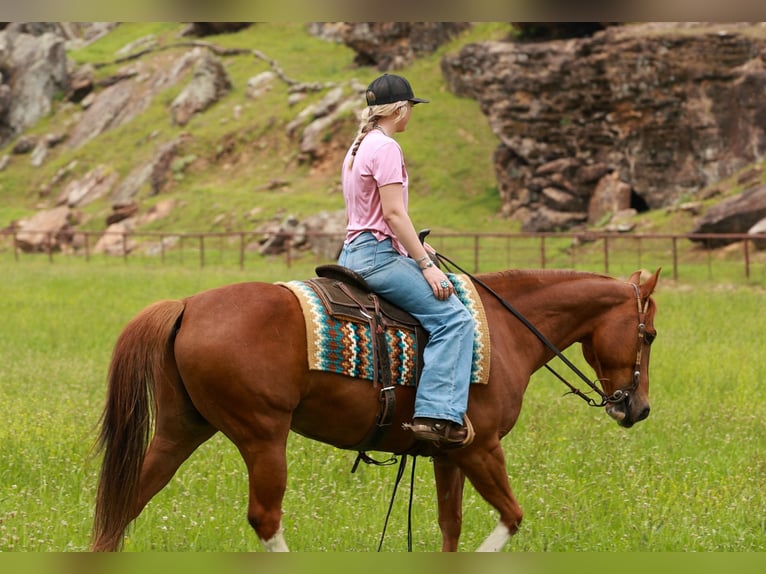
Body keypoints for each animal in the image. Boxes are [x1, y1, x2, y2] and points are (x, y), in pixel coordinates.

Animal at [91, 266, 660, 552]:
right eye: (649, 334)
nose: (638, 409)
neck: (504, 329)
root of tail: (187, 305)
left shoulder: (448, 454)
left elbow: (450, 526)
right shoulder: (482, 448)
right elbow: (512, 517)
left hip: (180, 430)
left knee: (125, 503)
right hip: (262, 437)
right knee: (265, 518)